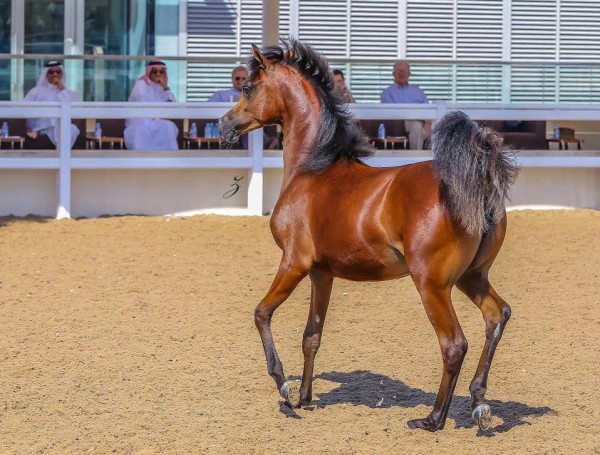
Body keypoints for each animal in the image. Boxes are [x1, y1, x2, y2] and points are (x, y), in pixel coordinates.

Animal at [218, 38, 516, 432]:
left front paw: (284, 387)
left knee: (453, 343)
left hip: (432, 284)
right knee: (497, 316)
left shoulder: (294, 263)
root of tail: (475, 185)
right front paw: (305, 398)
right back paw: (479, 404)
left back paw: (433, 418)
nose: (222, 125)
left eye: (248, 87)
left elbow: (261, 313)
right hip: (473, 277)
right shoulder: (321, 274)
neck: (313, 169)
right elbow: (311, 336)